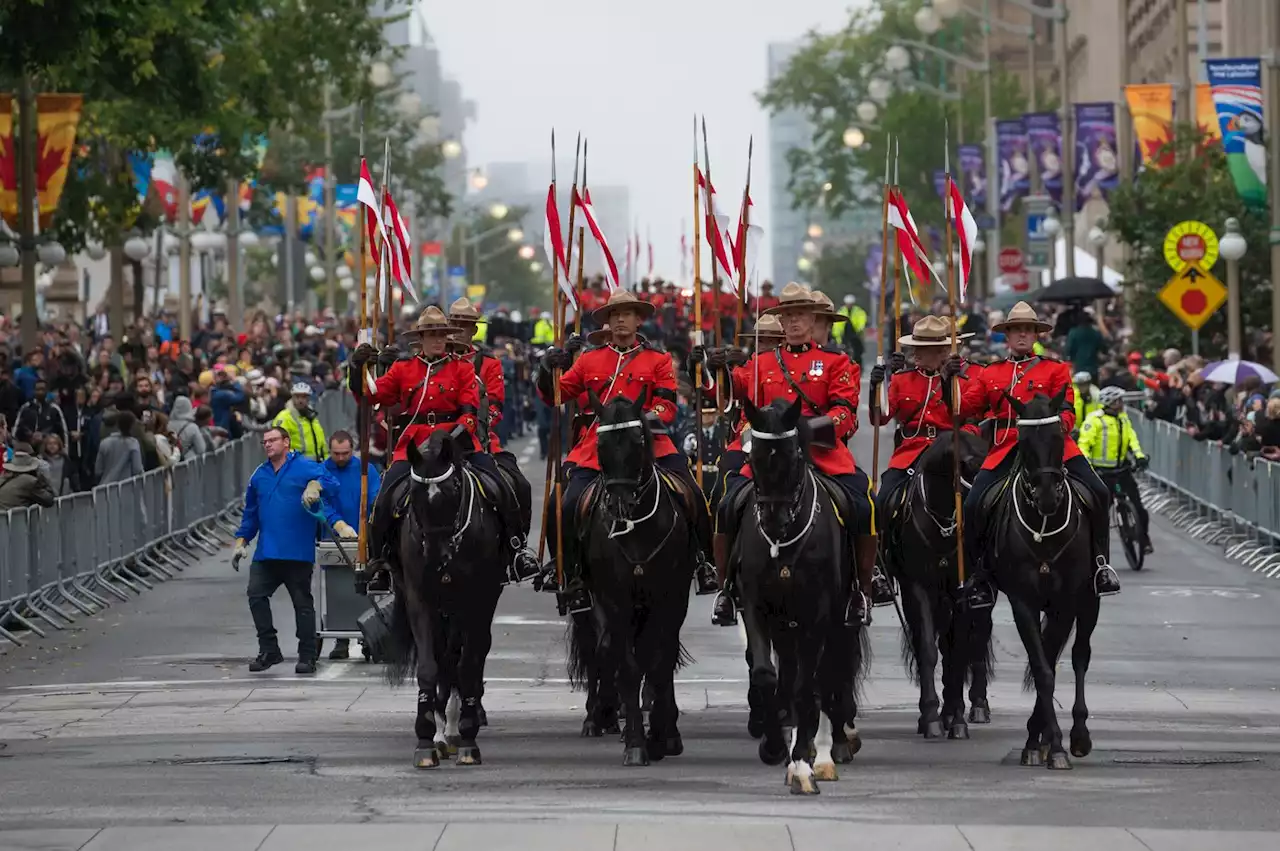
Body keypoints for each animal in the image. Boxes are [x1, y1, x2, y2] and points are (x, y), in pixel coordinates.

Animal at [378, 427, 504, 767]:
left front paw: (467, 737)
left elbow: (467, 665)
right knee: (445, 659)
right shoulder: (419, 599)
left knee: (466, 656)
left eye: (454, 489)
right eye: (415, 495)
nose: (437, 557)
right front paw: (426, 739)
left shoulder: (476, 601)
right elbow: (430, 666)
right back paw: (442, 729)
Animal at [565, 386, 696, 762]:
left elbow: (659, 660)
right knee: (598, 652)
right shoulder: (614, 600)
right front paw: (637, 742)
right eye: (599, 443)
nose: (619, 504)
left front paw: (664, 736)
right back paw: (598, 717)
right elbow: (627, 664)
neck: (637, 530)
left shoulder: (670, 597)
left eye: (638, 440)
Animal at [737, 394, 865, 793]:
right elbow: (767, 676)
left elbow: (807, 687)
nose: (775, 520)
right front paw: (776, 747)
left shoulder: (818, 615)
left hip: (840, 622)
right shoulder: (756, 607)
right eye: (752, 458)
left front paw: (804, 765)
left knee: (829, 676)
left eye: (794, 456)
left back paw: (827, 749)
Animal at [885, 427, 993, 742]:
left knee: (974, 639)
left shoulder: (961, 591)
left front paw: (956, 720)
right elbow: (928, 652)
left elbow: (958, 654)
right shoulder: (917, 588)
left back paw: (971, 707)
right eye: (973, 478)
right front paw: (931, 717)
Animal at [977, 391, 1100, 767]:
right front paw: (1041, 743)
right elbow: (1042, 668)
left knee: (1079, 655)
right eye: (1024, 442)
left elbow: (1054, 664)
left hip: (1090, 601)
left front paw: (1055, 743)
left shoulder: (1065, 603)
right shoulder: (1024, 602)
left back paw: (1079, 735)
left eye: (1059, 437)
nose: (1048, 496)